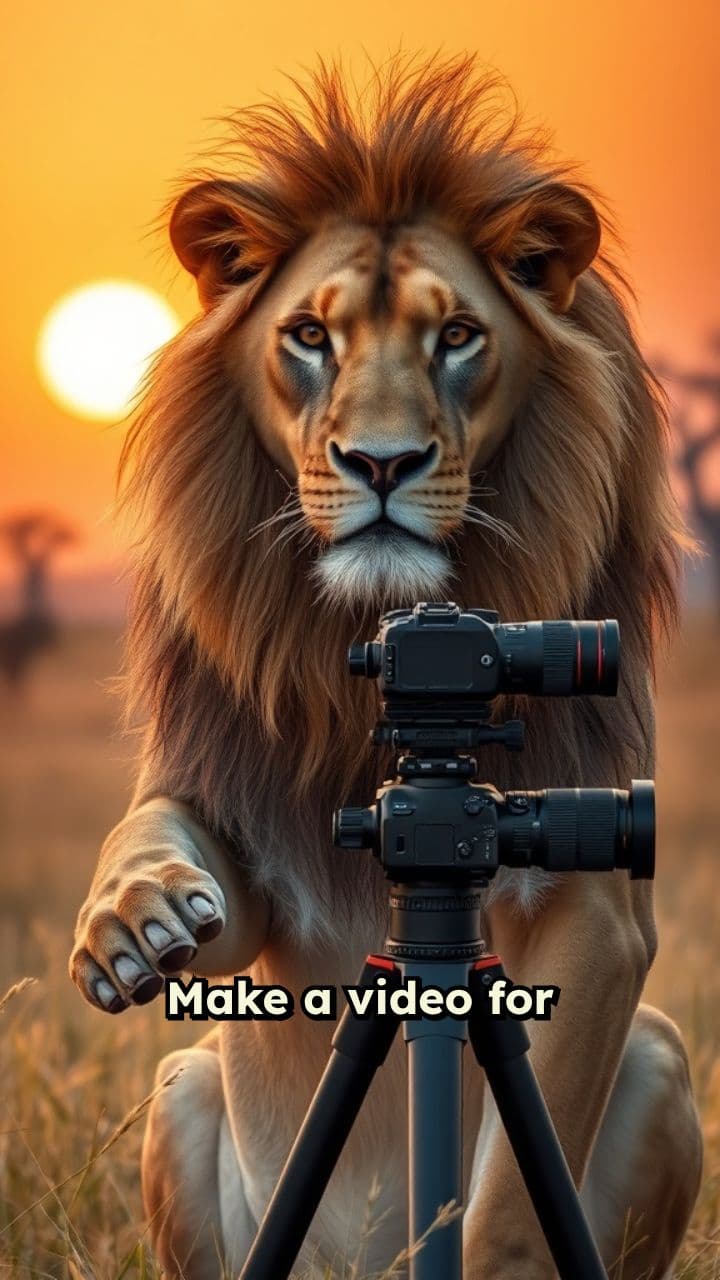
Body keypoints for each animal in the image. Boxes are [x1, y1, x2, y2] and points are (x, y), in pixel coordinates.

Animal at [70, 57, 703, 1279]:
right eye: (309, 336)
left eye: (456, 334)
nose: (381, 461)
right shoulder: (259, 853)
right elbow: (154, 830)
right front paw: (136, 924)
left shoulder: (597, 909)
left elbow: (504, 1212)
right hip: (182, 1090)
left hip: (662, 1055)